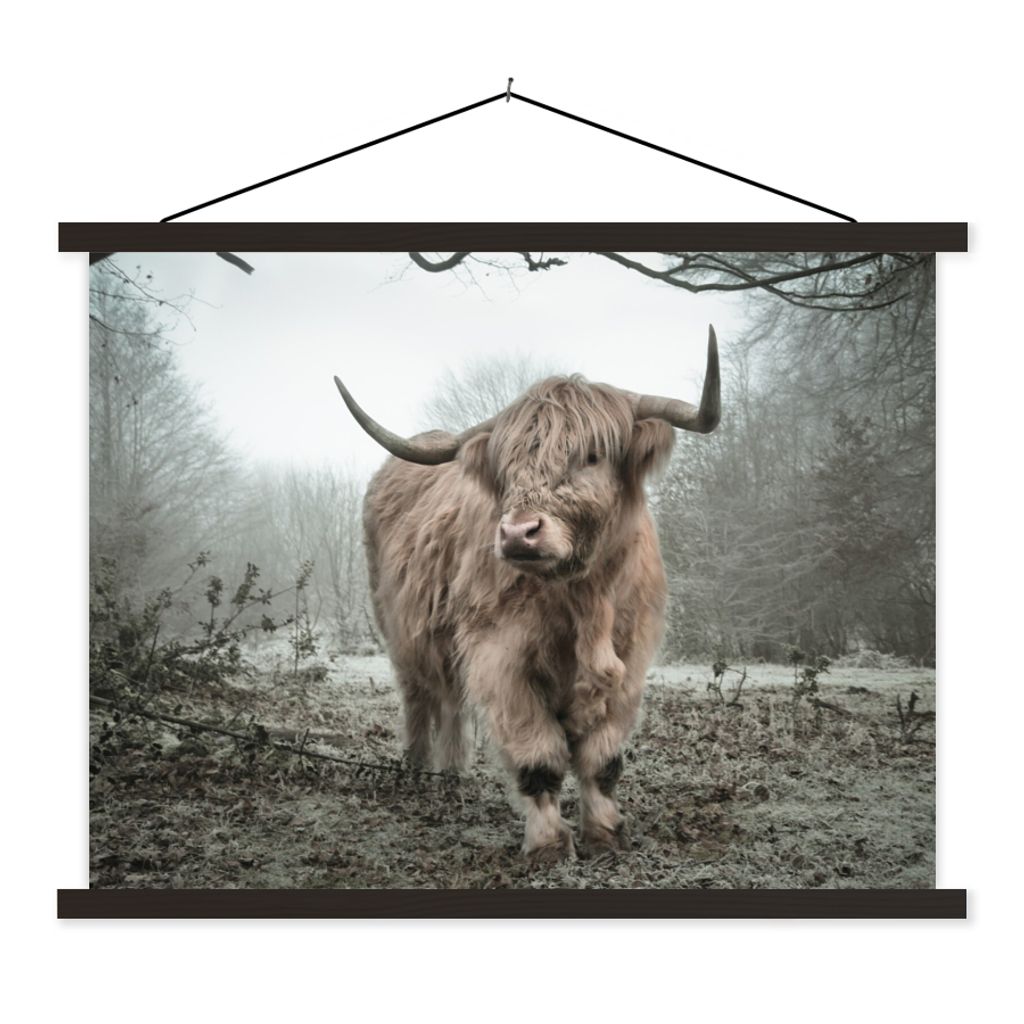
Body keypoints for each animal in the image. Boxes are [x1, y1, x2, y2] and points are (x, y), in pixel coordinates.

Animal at [333, 326, 720, 863]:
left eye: (592, 456)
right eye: (508, 466)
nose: (519, 533)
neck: (583, 600)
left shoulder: (630, 661)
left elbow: (602, 760)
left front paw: (605, 834)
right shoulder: (501, 658)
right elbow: (539, 757)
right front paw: (549, 845)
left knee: (450, 702)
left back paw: (451, 775)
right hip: (400, 632)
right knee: (419, 698)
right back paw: (417, 771)